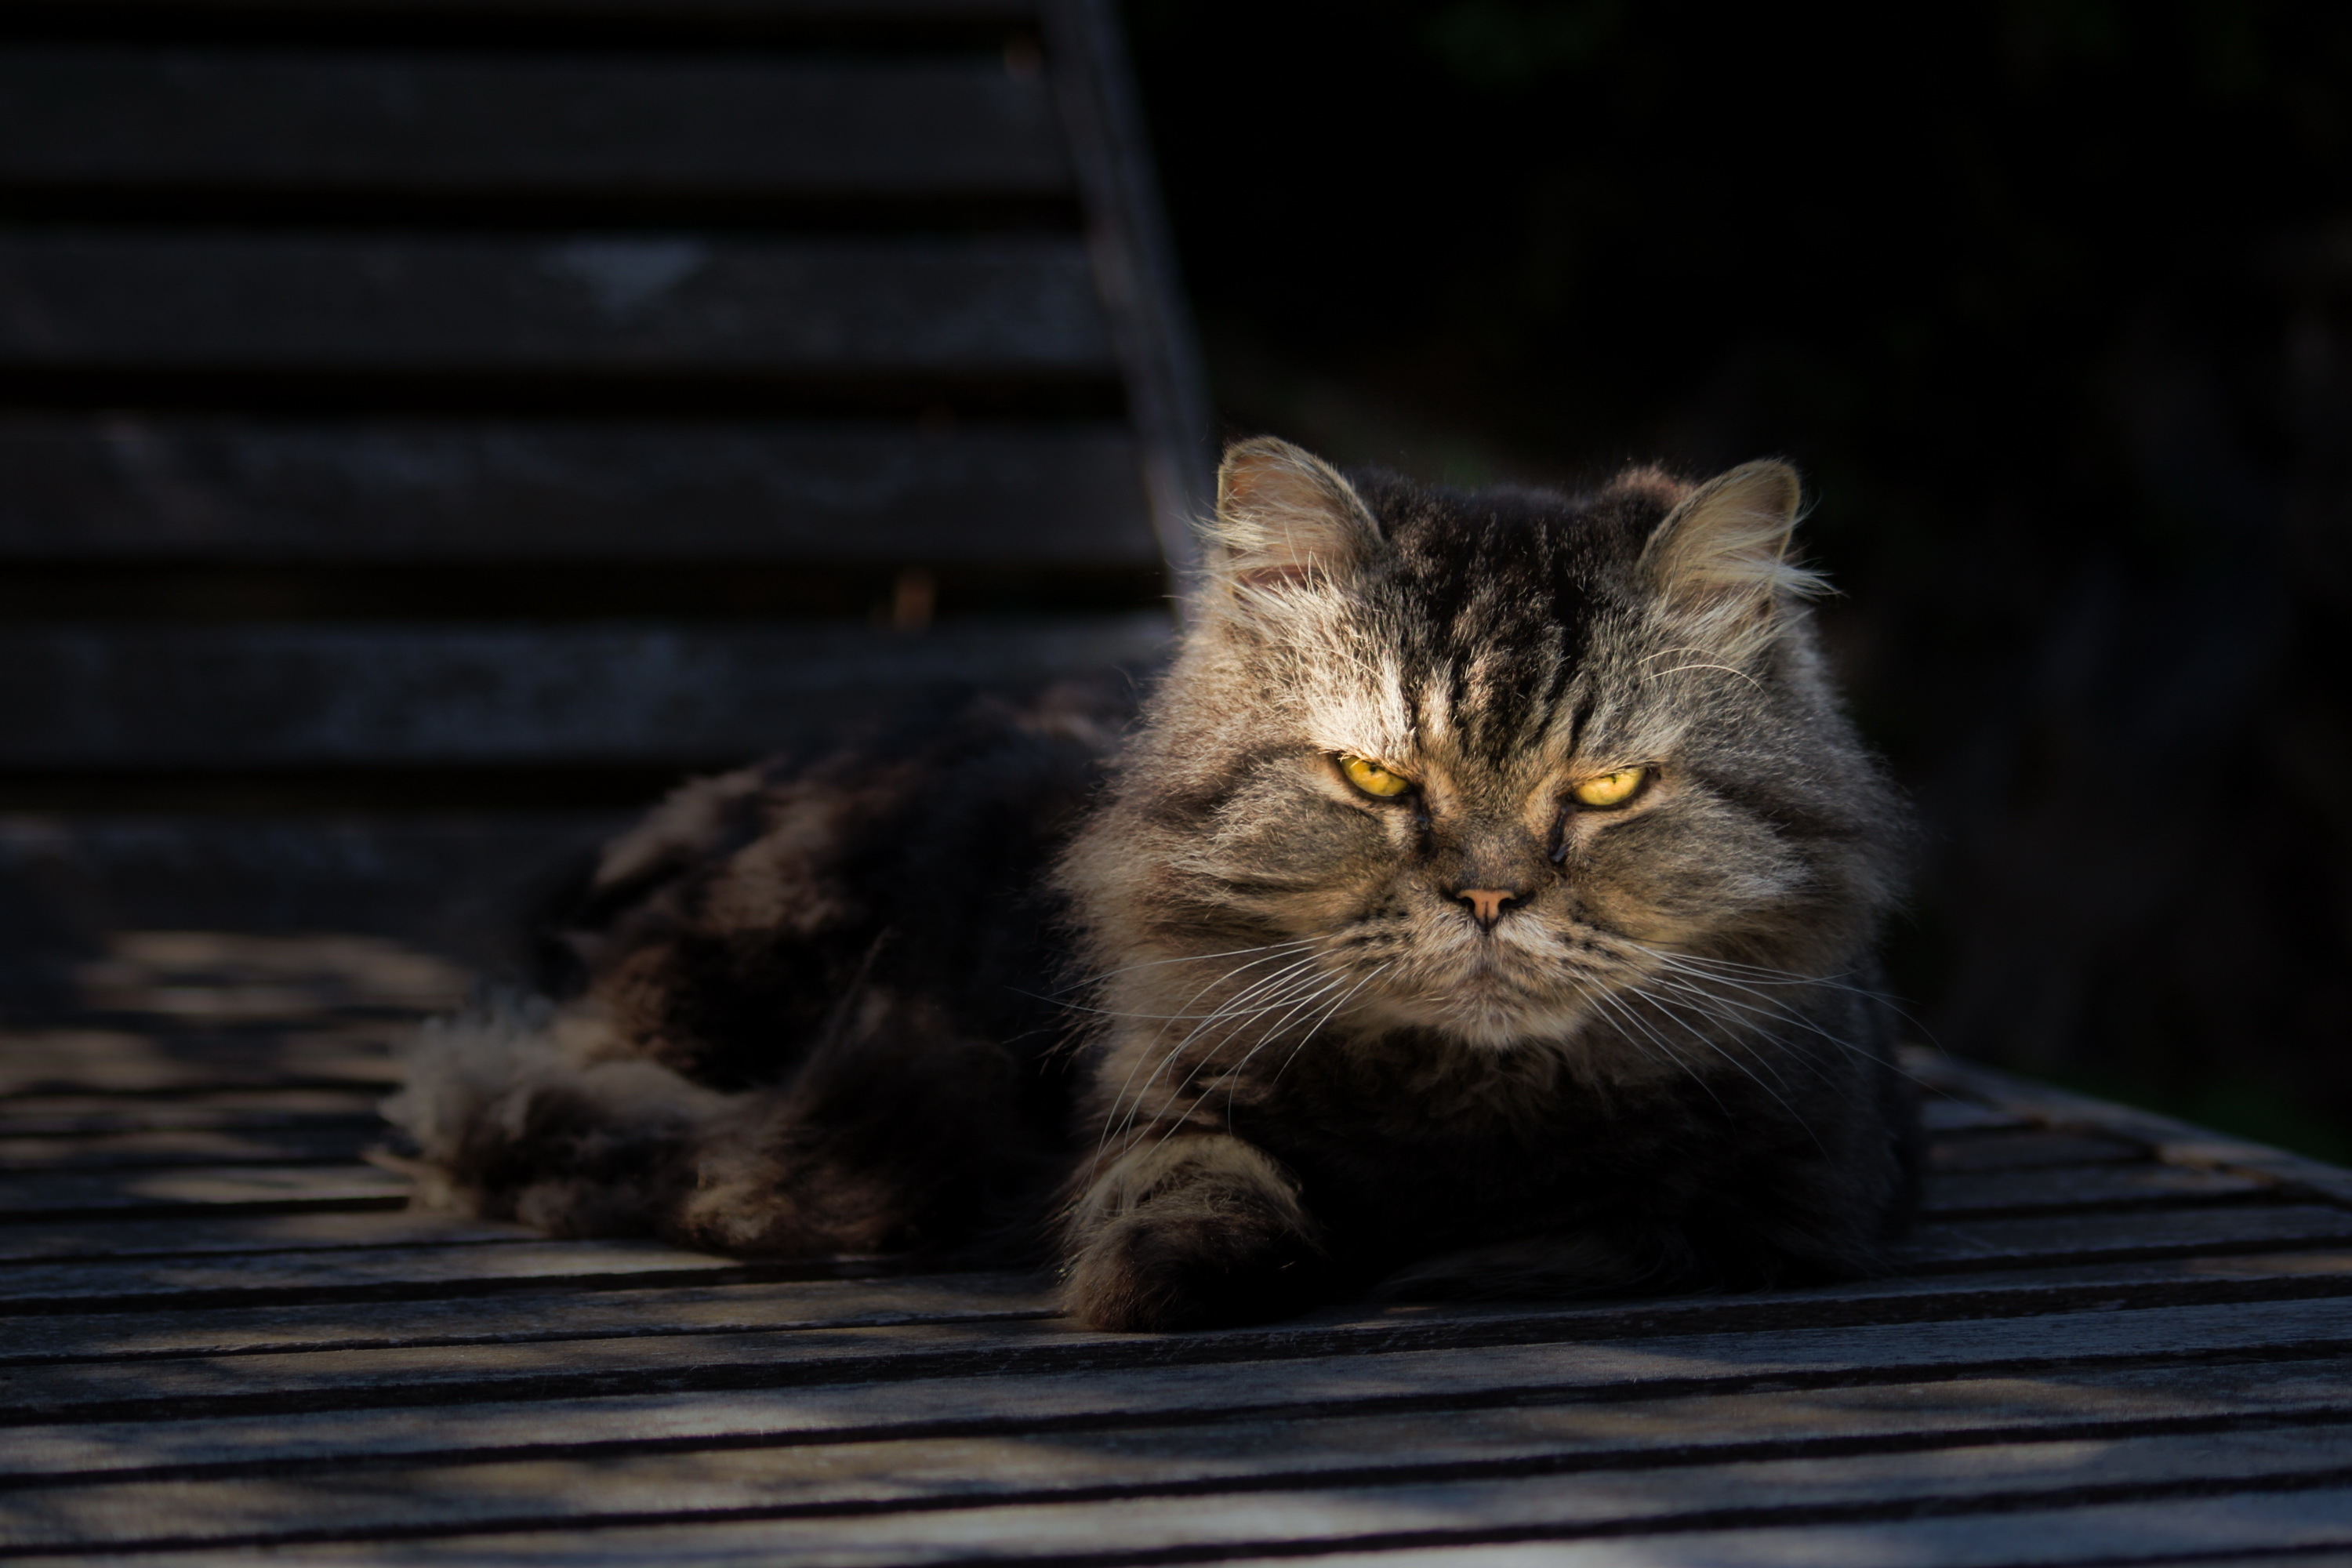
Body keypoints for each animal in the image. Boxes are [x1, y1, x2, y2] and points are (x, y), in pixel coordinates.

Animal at [386, 434, 1919, 1335]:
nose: (1488, 901)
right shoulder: (1151, 1111)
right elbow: (1192, 1214)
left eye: (1605, 793)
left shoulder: (1794, 1193)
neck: (1459, 1117)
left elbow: (1604, 1228)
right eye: (1373, 780)